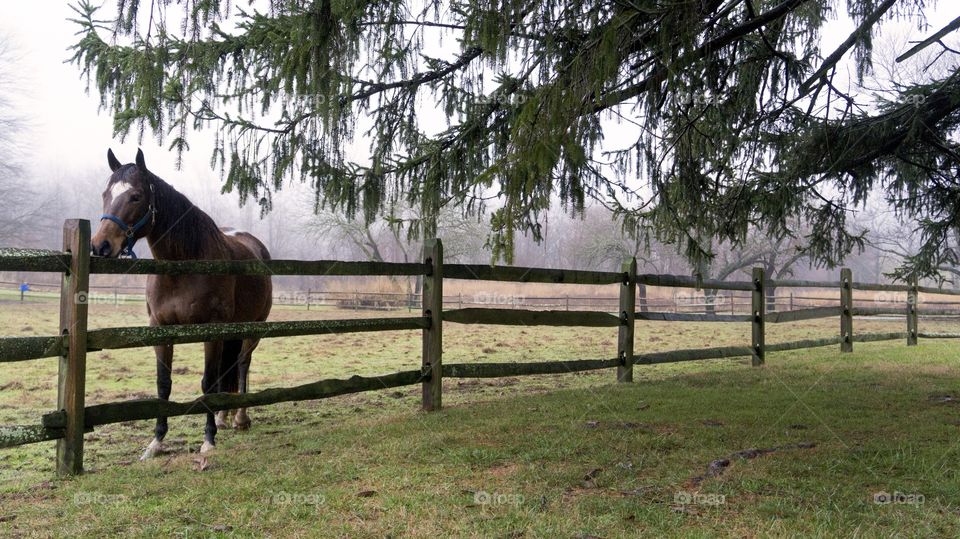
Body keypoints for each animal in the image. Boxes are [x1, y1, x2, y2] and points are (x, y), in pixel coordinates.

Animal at [90, 149, 272, 460]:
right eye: (105, 193)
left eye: (136, 196)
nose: (101, 245)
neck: (183, 266)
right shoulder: (161, 329)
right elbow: (164, 384)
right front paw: (156, 442)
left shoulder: (211, 330)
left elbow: (208, 382)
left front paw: (208, 440)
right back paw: (224, 417)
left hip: (252, 329)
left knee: (242, 365)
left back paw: (240, 418)